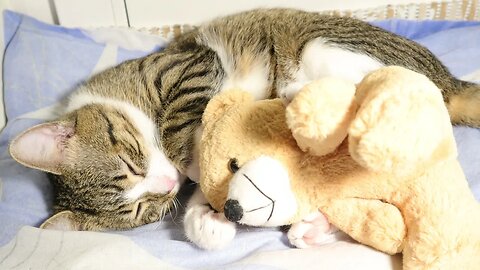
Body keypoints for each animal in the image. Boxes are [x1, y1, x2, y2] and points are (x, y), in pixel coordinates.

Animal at [7, 7, 480, 238]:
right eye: (142, 210)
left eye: (131, 164)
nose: (168, 182)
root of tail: (449, 80)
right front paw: (207, 219)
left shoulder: (186, 65)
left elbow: (181, 117)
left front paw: (190, 158)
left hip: (324, 47)